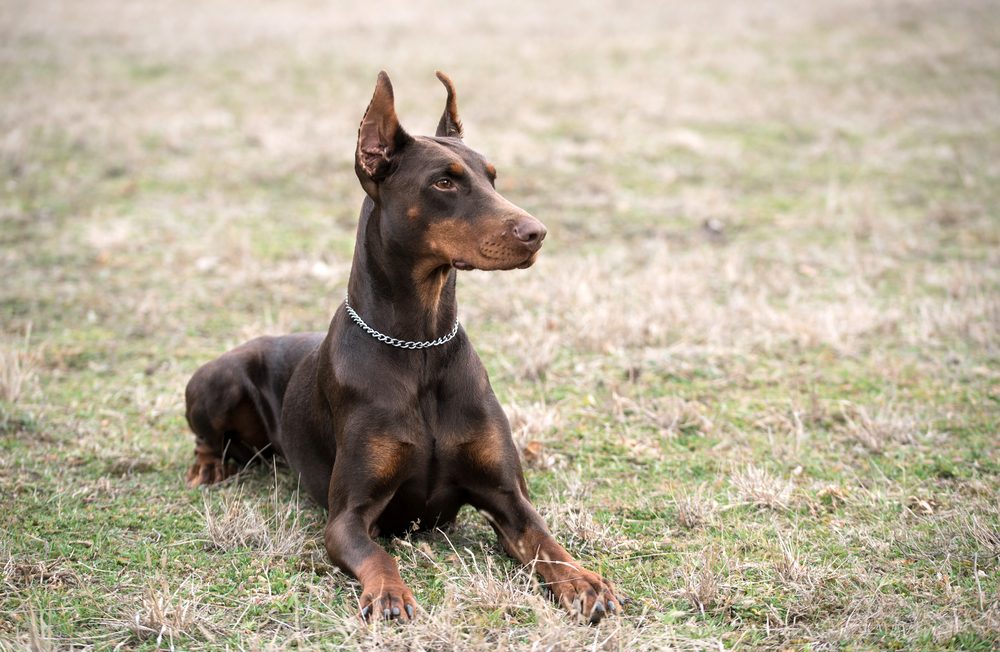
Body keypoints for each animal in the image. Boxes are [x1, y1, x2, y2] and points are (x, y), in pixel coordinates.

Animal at [180, 69, 616, 624]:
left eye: (492, 177)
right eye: (444, 182)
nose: (536, 233)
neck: (420, 345)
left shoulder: (507, 496)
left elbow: (545, 541)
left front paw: (583, 581)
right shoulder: (348, 516)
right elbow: (377, 553)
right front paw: (389, 594)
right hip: (220, 377)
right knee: (206, 436)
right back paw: (208, 468)